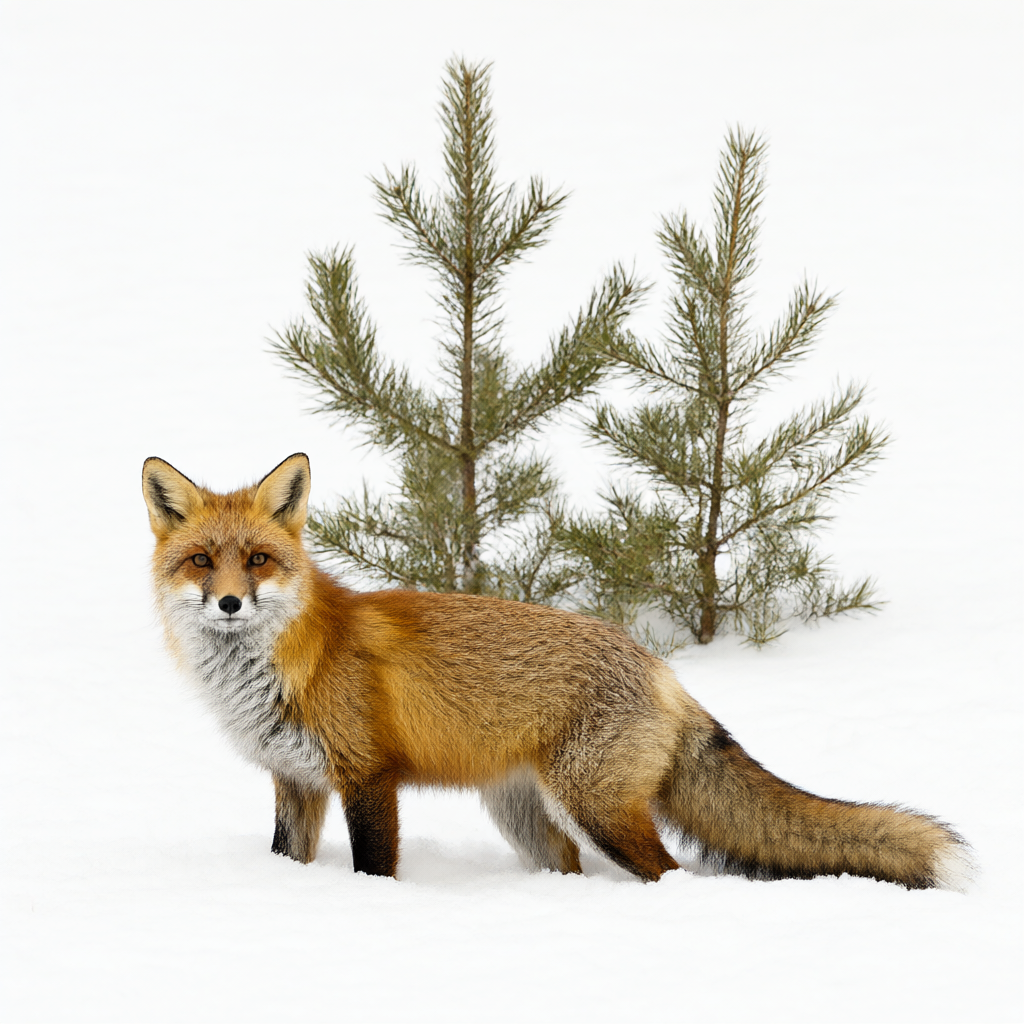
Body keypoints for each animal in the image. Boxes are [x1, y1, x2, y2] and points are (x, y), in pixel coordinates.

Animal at [142, 452, 971, 889]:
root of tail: (662, 668)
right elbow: (288, 856)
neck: (280, 666)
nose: (228, 603)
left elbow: (375, 868)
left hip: (596, 805)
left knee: (670, 871)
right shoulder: (296, 781)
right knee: (570, 867)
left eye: (257, 560)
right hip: (527, 815)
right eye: (200, 561)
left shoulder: (367, 776)